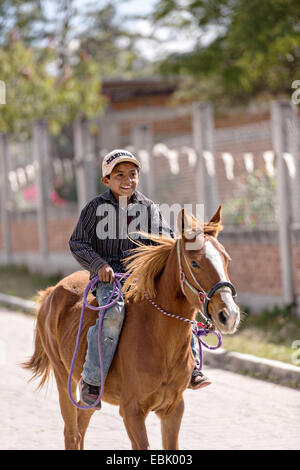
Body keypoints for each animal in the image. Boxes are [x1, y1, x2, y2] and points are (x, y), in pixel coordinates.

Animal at [22, 207, 239, 450]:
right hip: (63, 378)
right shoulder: (132, 411)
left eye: (226, 259)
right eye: (195, 263)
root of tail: (51, 292)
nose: (229, 315)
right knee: (71, 433)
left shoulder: (173, 409)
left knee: (81, 423)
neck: (158, 338)